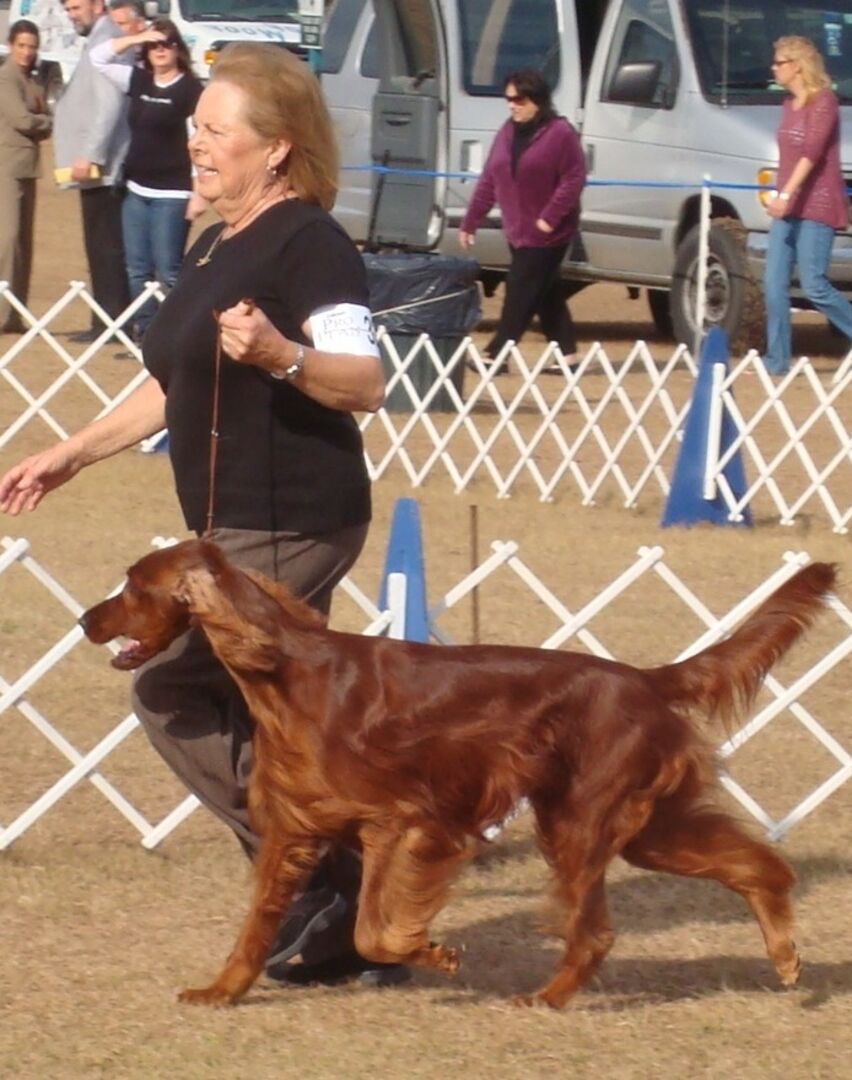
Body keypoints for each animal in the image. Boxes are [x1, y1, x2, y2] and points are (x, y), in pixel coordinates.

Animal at [76, 544, 833, 1006]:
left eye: (135, 587)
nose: (85, 619)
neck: (285, 674)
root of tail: (643, 679)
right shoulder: (292, 833)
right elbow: (257, 928)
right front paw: (221, 991)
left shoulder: (406, 821)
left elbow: (373, 929)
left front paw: (432, 953)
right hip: (644, 826)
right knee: (760, 868)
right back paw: (785, 957)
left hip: (582, 820)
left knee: (596, 930)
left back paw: (548, 999)